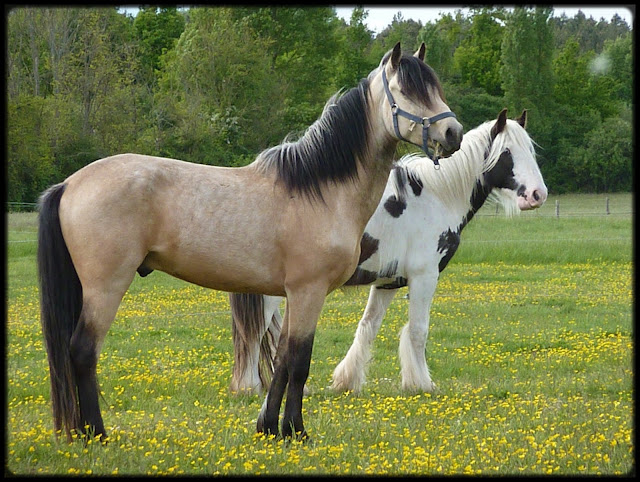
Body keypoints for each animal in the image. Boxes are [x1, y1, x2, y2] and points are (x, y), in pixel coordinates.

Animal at [37, 42, 462, 440]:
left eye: (434, 86)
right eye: (406, 90)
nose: (453, 133)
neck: (321, 190)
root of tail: (70, 184)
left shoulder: (294, 295)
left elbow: (283, 359)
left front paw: (270, 427)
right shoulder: (309, 291)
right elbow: (299, 362)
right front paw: (296, 431)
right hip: (106, 287)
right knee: (83, 351)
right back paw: (96, 433)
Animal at [228, 109, 548, 396]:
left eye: (530, 150)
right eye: (507, 153)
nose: (538, 195)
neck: (435, 197)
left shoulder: (386, 283)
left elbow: (367, 327)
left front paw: (347, 380)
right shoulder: (424, 277)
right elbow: (418, 331)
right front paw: (421, 384)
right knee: (254, 332)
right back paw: (248, 388)